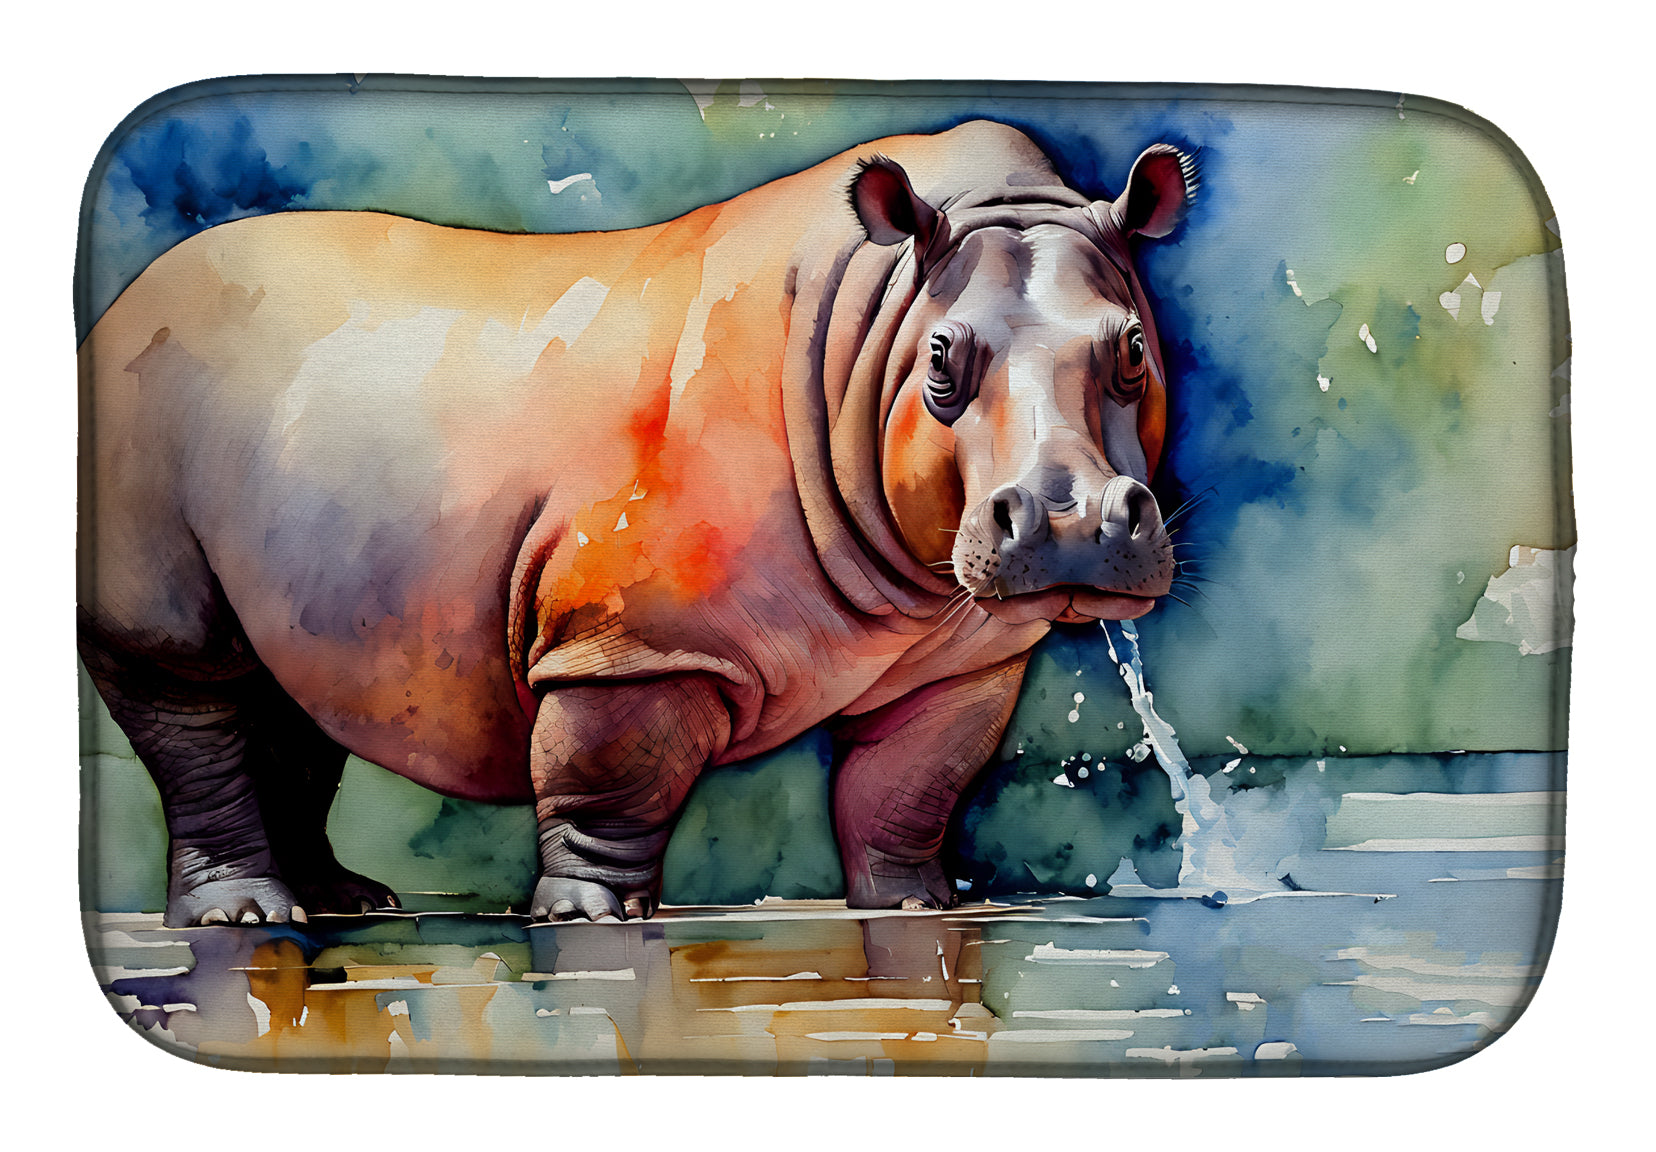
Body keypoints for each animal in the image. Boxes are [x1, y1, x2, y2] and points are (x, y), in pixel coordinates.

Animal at [77, 119, 1193, 926]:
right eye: (942, 362)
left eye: (1136, 352)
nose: (1073, 523)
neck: (874, 322)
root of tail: (120, 302)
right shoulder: (631, 639)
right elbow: (612, 780)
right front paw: (591, 920)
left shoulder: (960, 653)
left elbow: (909, 786)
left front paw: (915, 908)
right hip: (136, 410)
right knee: (185, 676)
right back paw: (244, 922)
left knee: (294, 683)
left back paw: (348, 906)